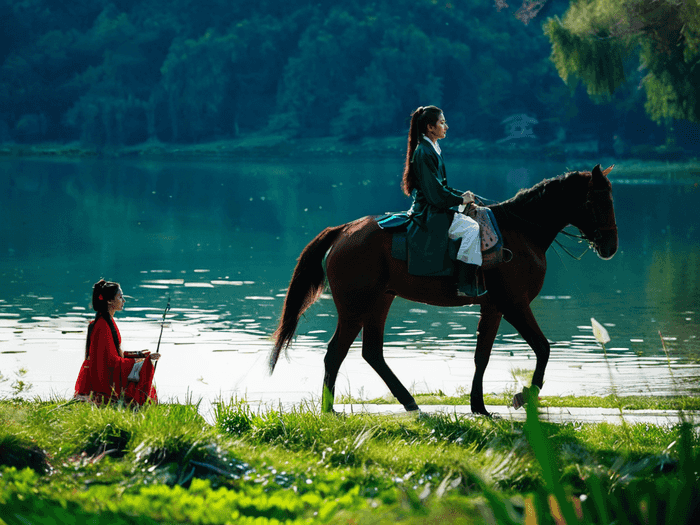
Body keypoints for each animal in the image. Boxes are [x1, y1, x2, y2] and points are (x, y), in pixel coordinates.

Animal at [268, 164, 616, 414]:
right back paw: (329, 409)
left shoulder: (494, 307)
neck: (521, 232)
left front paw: (479, 406)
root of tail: (344, 230)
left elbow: (482, 356)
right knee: (335, 353)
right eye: (596, 200)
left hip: (380, 301)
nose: (611, 245)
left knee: (372, 353)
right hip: (355, 307)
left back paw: (408, 401)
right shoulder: (514, 304)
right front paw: (524, 395)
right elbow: (543, 348)